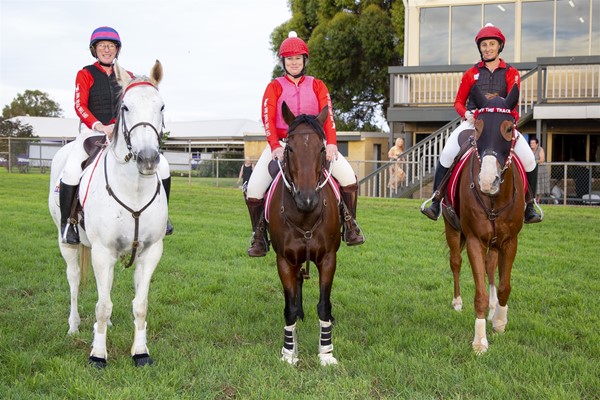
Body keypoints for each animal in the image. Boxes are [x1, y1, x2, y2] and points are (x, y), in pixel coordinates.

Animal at [47, 60, 166, 368]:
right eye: (125, 107)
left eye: (161, 106)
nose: (148, 159)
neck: (133, 188)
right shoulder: (102, 252)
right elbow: (102, 305)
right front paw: (98, 354)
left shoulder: (150, 253)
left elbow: (140, 305)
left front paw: (140, 352)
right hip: (67, 242)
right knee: (74, 279)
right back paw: (74, 325)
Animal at [268, 102, 342, 366]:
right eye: (289, 147)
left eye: (321, 148)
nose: (306, 198)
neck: (305, 215)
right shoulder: (284, 260)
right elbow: (288, 307)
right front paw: (289, 352)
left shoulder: (329, 259)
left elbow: (324, 305)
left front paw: (326, 353)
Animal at [440, 85, 524, 354]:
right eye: (477, 127)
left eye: (508, 128)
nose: (488, 181)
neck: (493, 199)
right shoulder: (475, 240)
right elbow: (479, 294)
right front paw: (479, 341)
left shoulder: (509, 241)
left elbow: (505, 285)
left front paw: (499, 321)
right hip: (452, 229)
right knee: (455, 262)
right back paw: (457, 302)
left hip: (495, 243)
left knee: (490, 269)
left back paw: (494, 309)